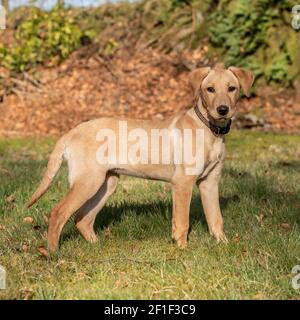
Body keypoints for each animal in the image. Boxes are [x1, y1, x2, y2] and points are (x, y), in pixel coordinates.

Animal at [27, 66, 253, 251]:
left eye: (232, 88)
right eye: (210, 89)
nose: (223, 110)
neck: (209, 129)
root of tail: (71, 132)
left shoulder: (210, 182)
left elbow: (216, 219)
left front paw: (224, 244)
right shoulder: (182, 182)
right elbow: (182, 221)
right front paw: (182, 249)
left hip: (106, 183)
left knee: (83, 218)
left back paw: (97, 246)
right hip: (88, 181)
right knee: (59, 212)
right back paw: (54, 253)